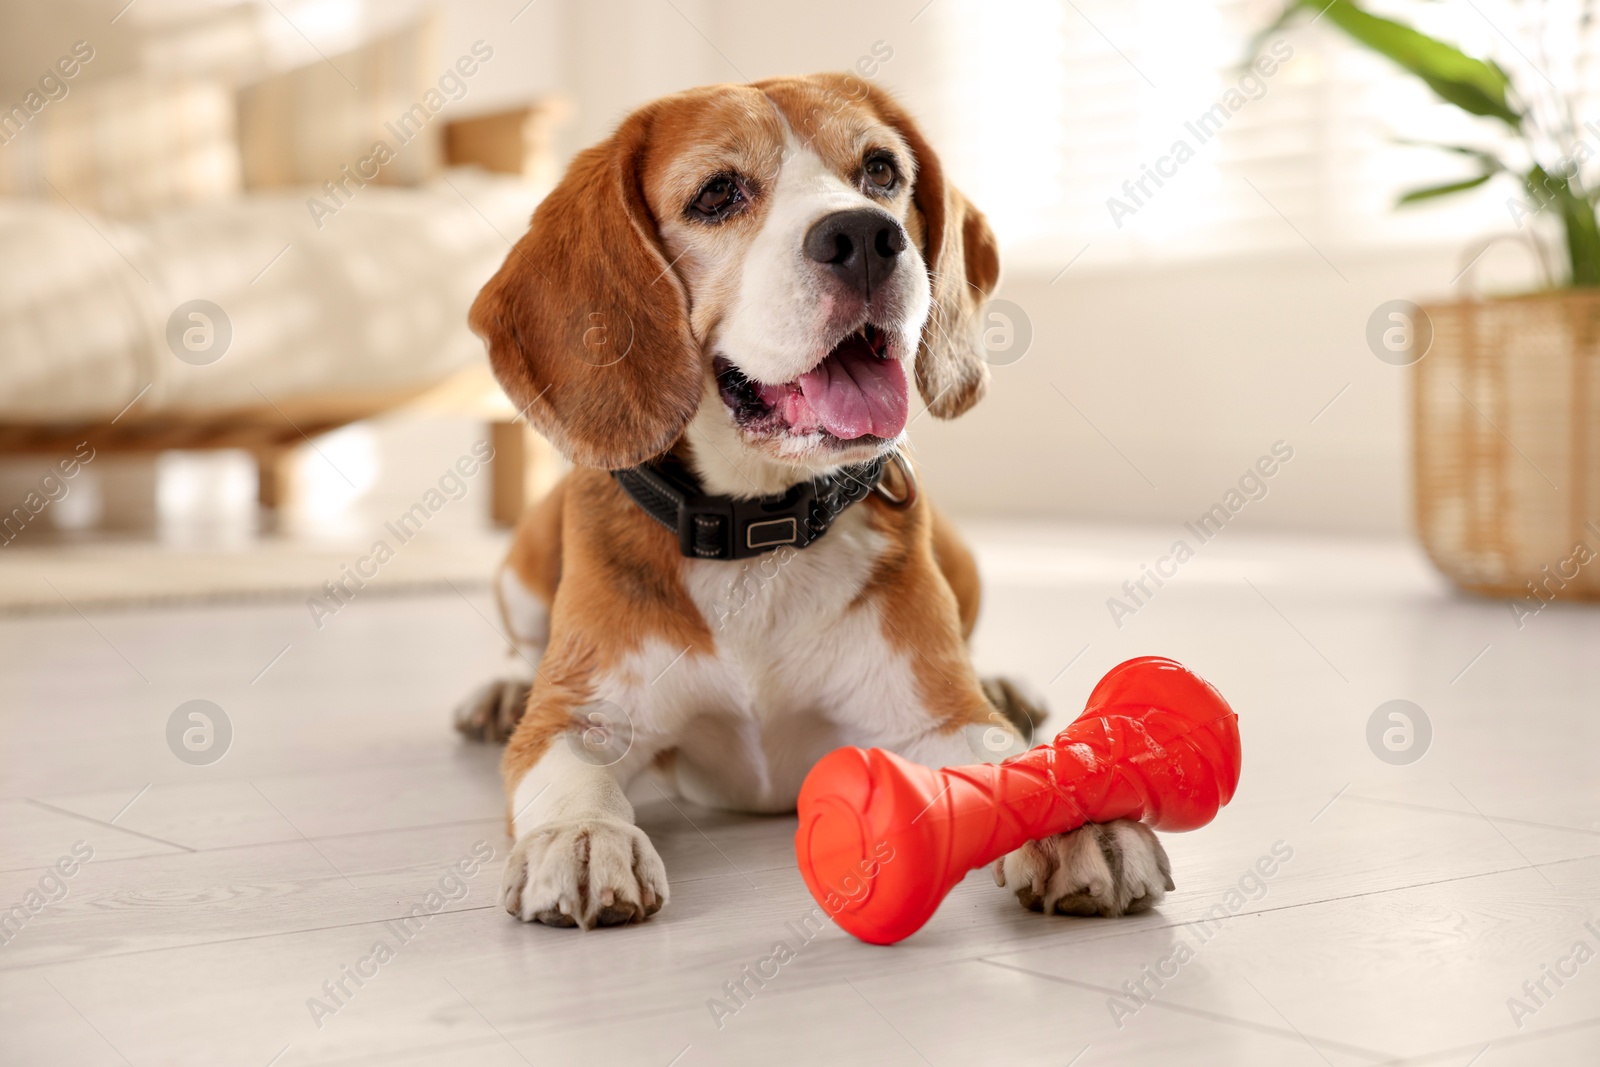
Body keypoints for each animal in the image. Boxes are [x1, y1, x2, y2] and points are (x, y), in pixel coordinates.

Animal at [457, 73, 1171, 927]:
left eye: (881, 172)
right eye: (718, 193)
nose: (864, 236)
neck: (761, 525)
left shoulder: (937, 715)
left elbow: (1009, 753)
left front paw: (1076, 818)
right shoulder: (577, 716)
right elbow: (568, 769)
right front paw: (582, 834)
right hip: (522, 568)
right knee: (521, 643)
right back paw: (502, 688)